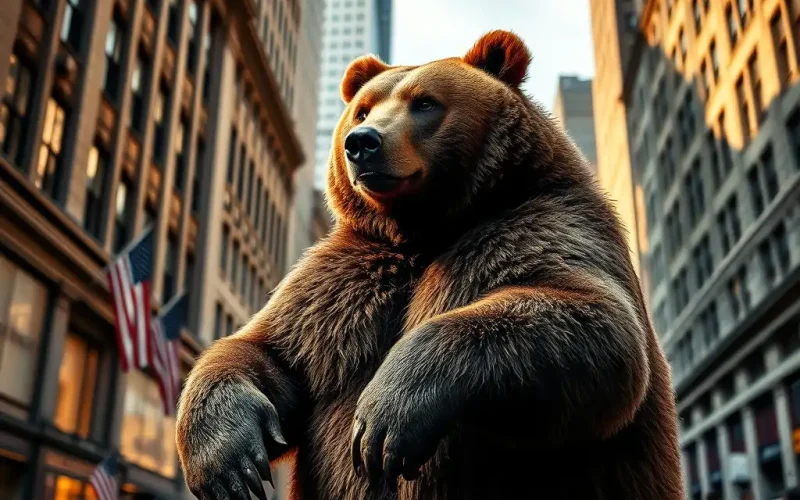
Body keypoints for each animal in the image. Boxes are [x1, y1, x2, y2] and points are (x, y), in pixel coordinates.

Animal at [176, 30, 684, 500]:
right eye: (363, 109)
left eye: (424, 103)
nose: (362, 143)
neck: (422, 231)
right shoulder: (343, 282)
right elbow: (272, 351)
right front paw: (230, 465)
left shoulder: (542, 227)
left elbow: (591, 321)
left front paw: (382, 419)